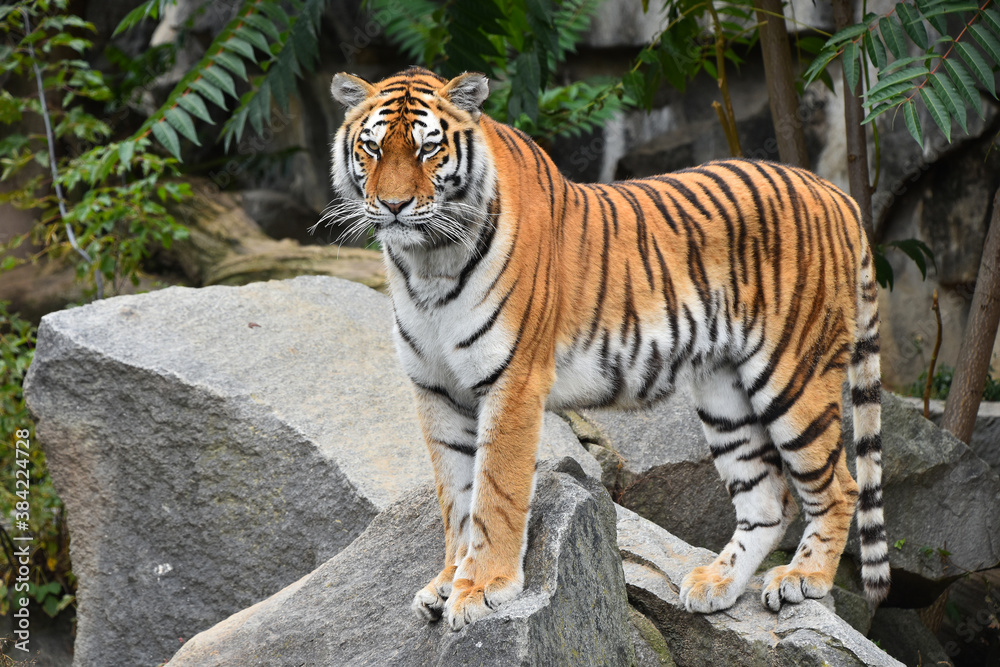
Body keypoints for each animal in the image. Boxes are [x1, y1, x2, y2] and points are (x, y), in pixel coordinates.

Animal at [328, 66, 889, 631]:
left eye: (428, 149)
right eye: (372, 147)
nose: (394, 207)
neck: (427, 263)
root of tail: (836, 193)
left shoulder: (512, 382)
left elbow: (495, 492)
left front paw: (483, 587)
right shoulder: (434, 389)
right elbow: (456, 497)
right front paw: (447, 582)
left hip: (793, 376)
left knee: (838, 487)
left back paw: (802, 578)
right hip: (724, 392)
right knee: (769, 499)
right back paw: (717, 584)